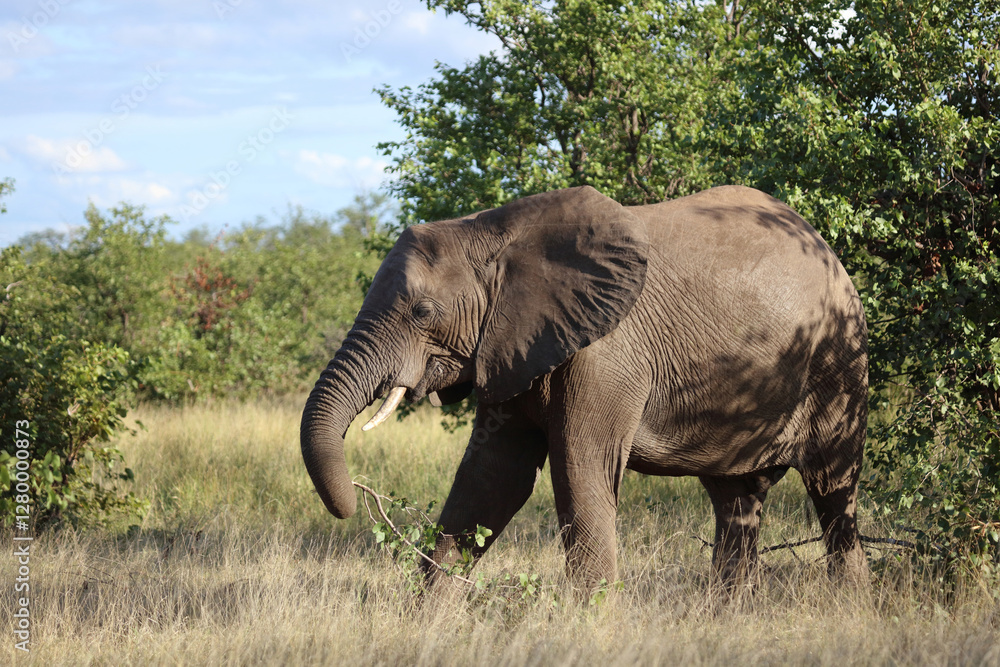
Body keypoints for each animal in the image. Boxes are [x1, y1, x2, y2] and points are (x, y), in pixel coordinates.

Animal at [300, 185, 868, 593]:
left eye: (422, 312)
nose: (351, 501)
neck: (491, 229)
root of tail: (828, 249)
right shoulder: (512, 345)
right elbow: (491, 478)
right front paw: (427, 620)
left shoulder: (605, 353)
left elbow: (579, 470)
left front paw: (591, 625)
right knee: (736, 501)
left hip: (839, 361)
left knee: (833, 488)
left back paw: (849, 605)